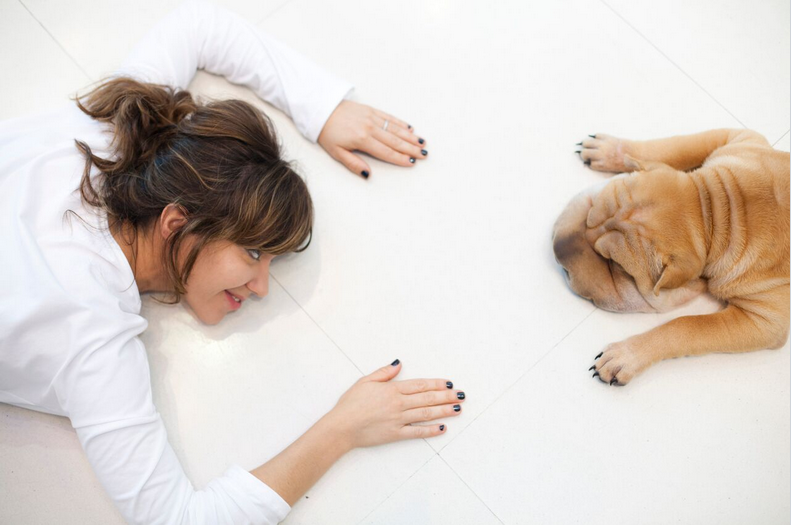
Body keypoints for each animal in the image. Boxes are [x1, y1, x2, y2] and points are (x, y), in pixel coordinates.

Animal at [553, 129, 790, 385]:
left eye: (615, 264)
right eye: (592, 212)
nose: (558, 251)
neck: (718, 211)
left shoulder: (764, 322)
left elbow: (687, 325)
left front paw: (627, 355)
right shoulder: (737, 137)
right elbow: (677, 147)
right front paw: (611, 150)